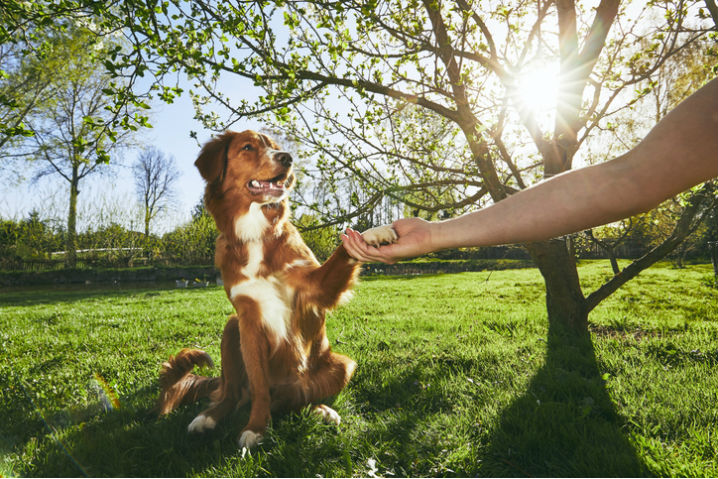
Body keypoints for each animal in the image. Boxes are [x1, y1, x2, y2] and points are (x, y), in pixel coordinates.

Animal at [155, 130, 400, 450]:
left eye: (274, 147)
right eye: (248, 147)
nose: (287, 158)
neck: (256, 233)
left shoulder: (315, 288)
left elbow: (343, 249)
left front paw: (373, 234)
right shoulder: (248, 320)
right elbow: (260, 386)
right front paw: (257, 427)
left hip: (342, 366)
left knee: (297, 399)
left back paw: (321, 410)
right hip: (231, 329)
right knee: (232, 393)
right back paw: (208, 417)